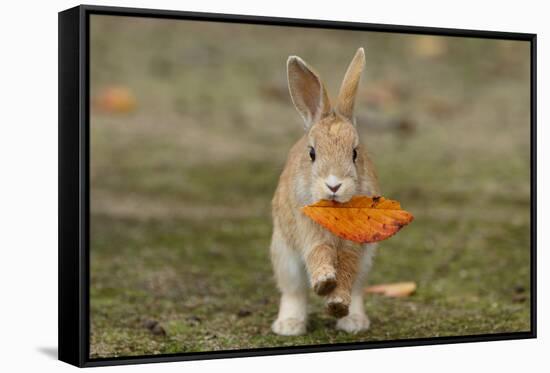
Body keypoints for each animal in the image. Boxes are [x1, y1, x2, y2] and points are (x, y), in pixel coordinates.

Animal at [270, 48, 382, 336]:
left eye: (355, 153)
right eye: (312, 153)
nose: (334, 185)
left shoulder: (355, 246)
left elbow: (347, 271)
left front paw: (337, 303)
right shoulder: (308, 229)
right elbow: (318, 251)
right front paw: (323, 282)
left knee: (357, 289)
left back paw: (354, 322)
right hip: (285, 257)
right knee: (294, 292)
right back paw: (289, 326)